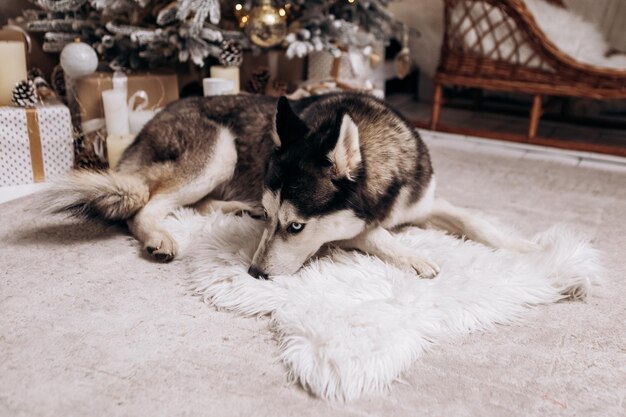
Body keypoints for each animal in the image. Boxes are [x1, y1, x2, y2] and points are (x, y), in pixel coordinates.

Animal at [41, 92, 532, 278]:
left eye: (294, 226)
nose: (255, 274)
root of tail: (144, 127)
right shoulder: (353, 229)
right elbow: (375, 235)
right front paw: (414, 256)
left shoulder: (422, 202)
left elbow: (474, 221)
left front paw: (524, 247)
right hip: (220, 151)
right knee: (146, 206)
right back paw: (159, 236)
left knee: (196, 206)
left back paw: (234, 209)